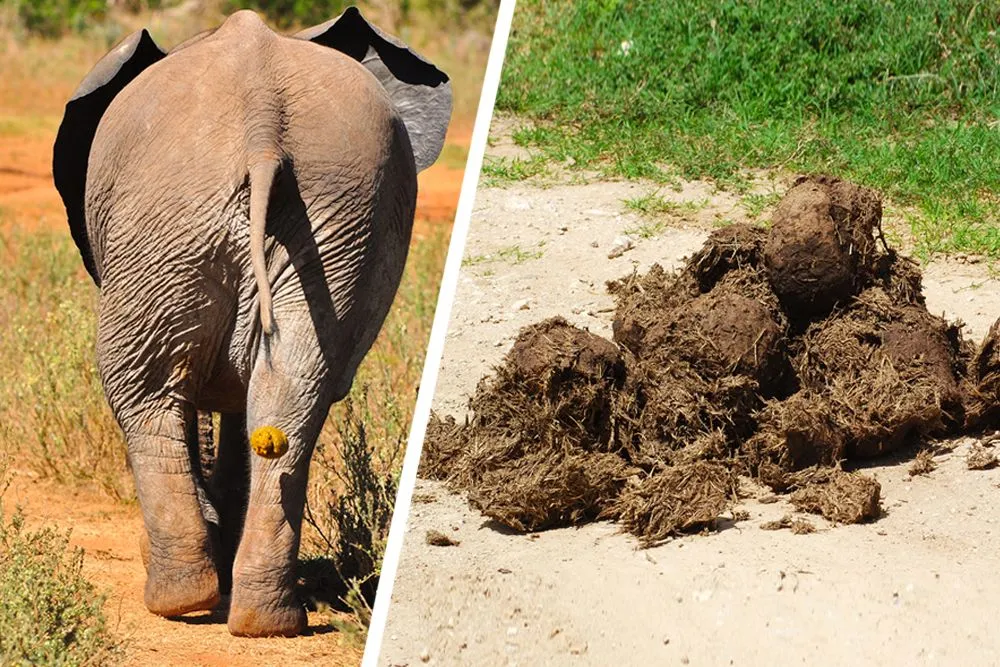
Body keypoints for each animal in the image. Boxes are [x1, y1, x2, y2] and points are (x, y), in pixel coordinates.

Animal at [52, 7, 451, 637]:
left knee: (142, 390)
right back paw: (267, 620)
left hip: (169, 216)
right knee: (291, 395)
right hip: (327, 213)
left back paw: (181, 600)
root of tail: (264, 128)